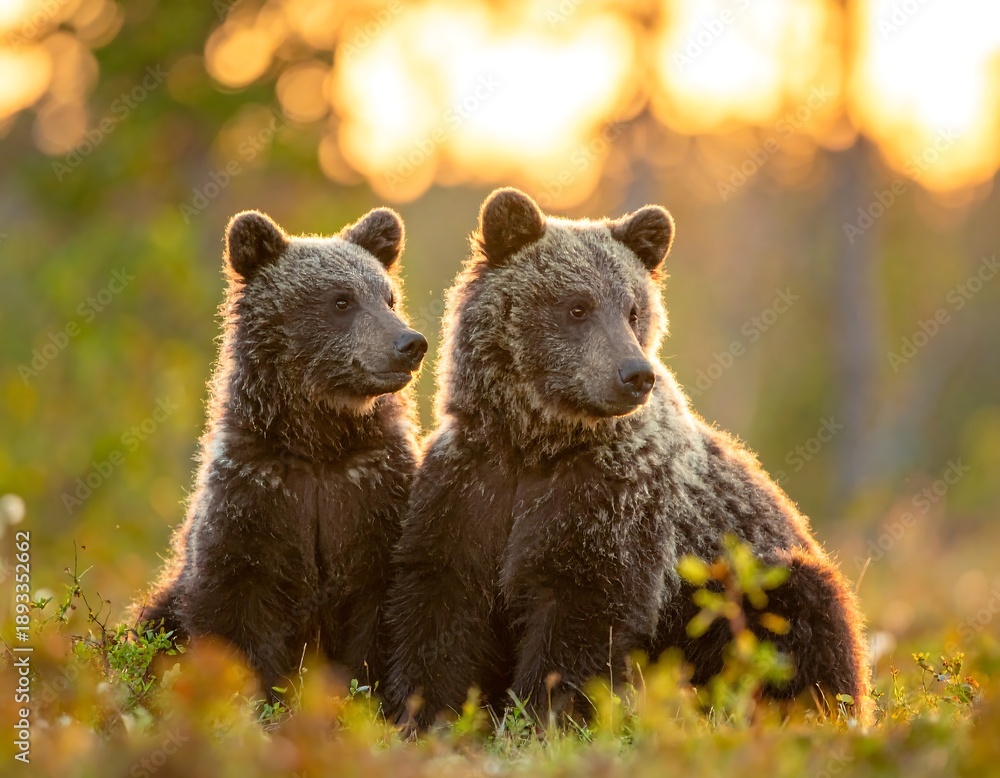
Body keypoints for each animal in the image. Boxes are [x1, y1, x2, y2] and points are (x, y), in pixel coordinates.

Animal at [137, 207, 427, 698]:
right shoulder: (256, 495)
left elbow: (378, 611)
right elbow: (235, 610)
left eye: (388, 298)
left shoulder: (372, 492)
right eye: (342, 300)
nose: (410, 344)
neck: (318, 443)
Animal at [383, 187, 871, 730]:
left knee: (806, 620)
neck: (535, 444)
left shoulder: (615, 501)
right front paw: (424, 715)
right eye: (577, 306)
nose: (635, 374)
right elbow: (441, 606)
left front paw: (542, 719)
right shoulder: (472, 487)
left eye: (634, 310)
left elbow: (584, 612)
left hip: (755, 582)